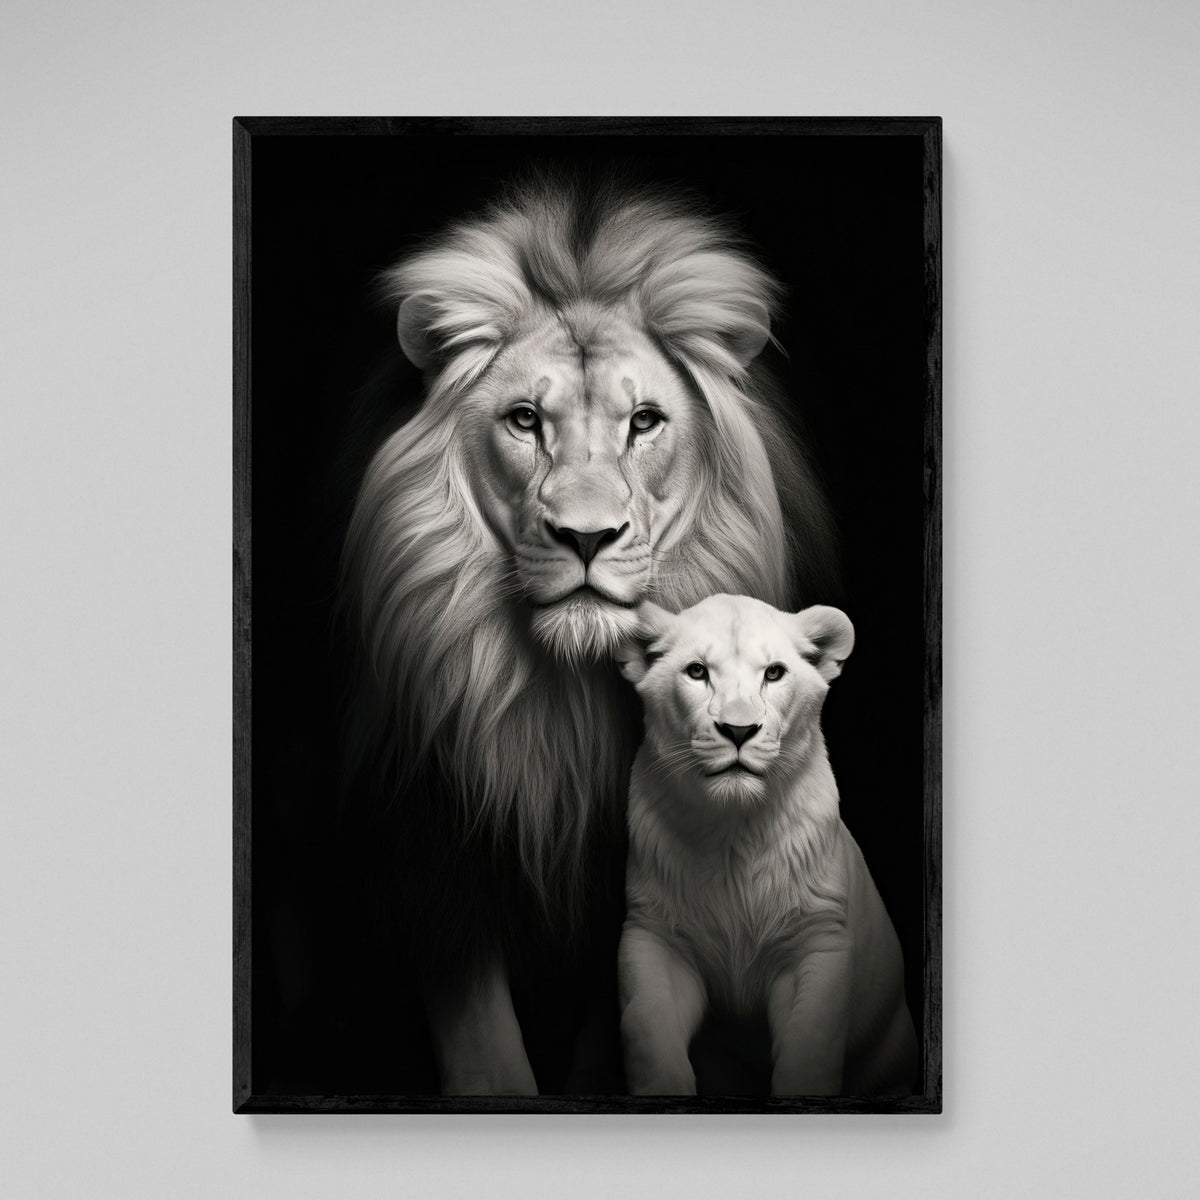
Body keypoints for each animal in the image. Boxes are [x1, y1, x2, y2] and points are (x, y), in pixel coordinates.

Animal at [340, 176, 839, 1094]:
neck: (562, 708)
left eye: (643, 421)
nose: (586, 537)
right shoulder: (435, 863)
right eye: (524, 419)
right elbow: (488, 1058)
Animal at [616, 594, 917, 1096]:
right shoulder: (654, 936)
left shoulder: (815, 944)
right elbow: (649, 1039)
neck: (733, 834)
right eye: (696, 671)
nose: (739, 731)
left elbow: (808, 1057)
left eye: (774, 673)